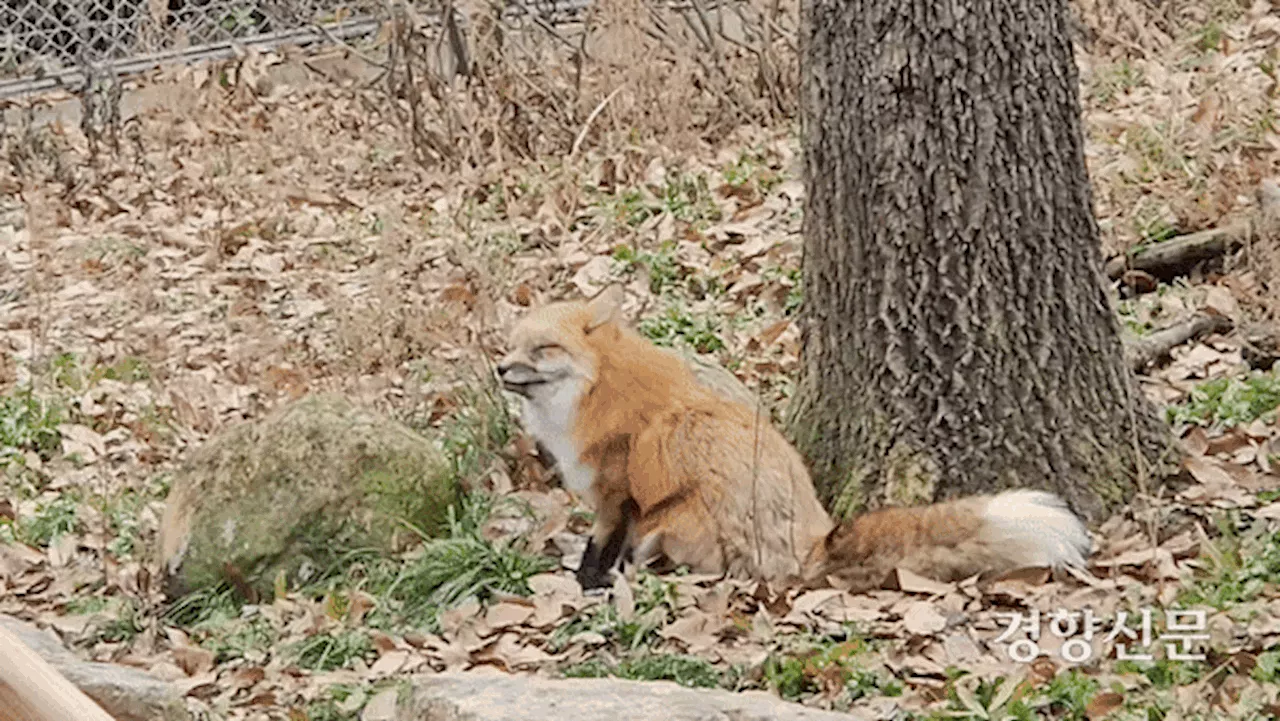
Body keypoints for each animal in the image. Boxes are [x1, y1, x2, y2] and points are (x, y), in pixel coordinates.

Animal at [496, 288, 1090, 591]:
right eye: (511, 344)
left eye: (544, 349)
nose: (499, 368)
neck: (597, 394)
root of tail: (812, 542)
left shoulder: (617, 495)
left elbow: (600, 551)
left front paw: (588, 584)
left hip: (678, 518)